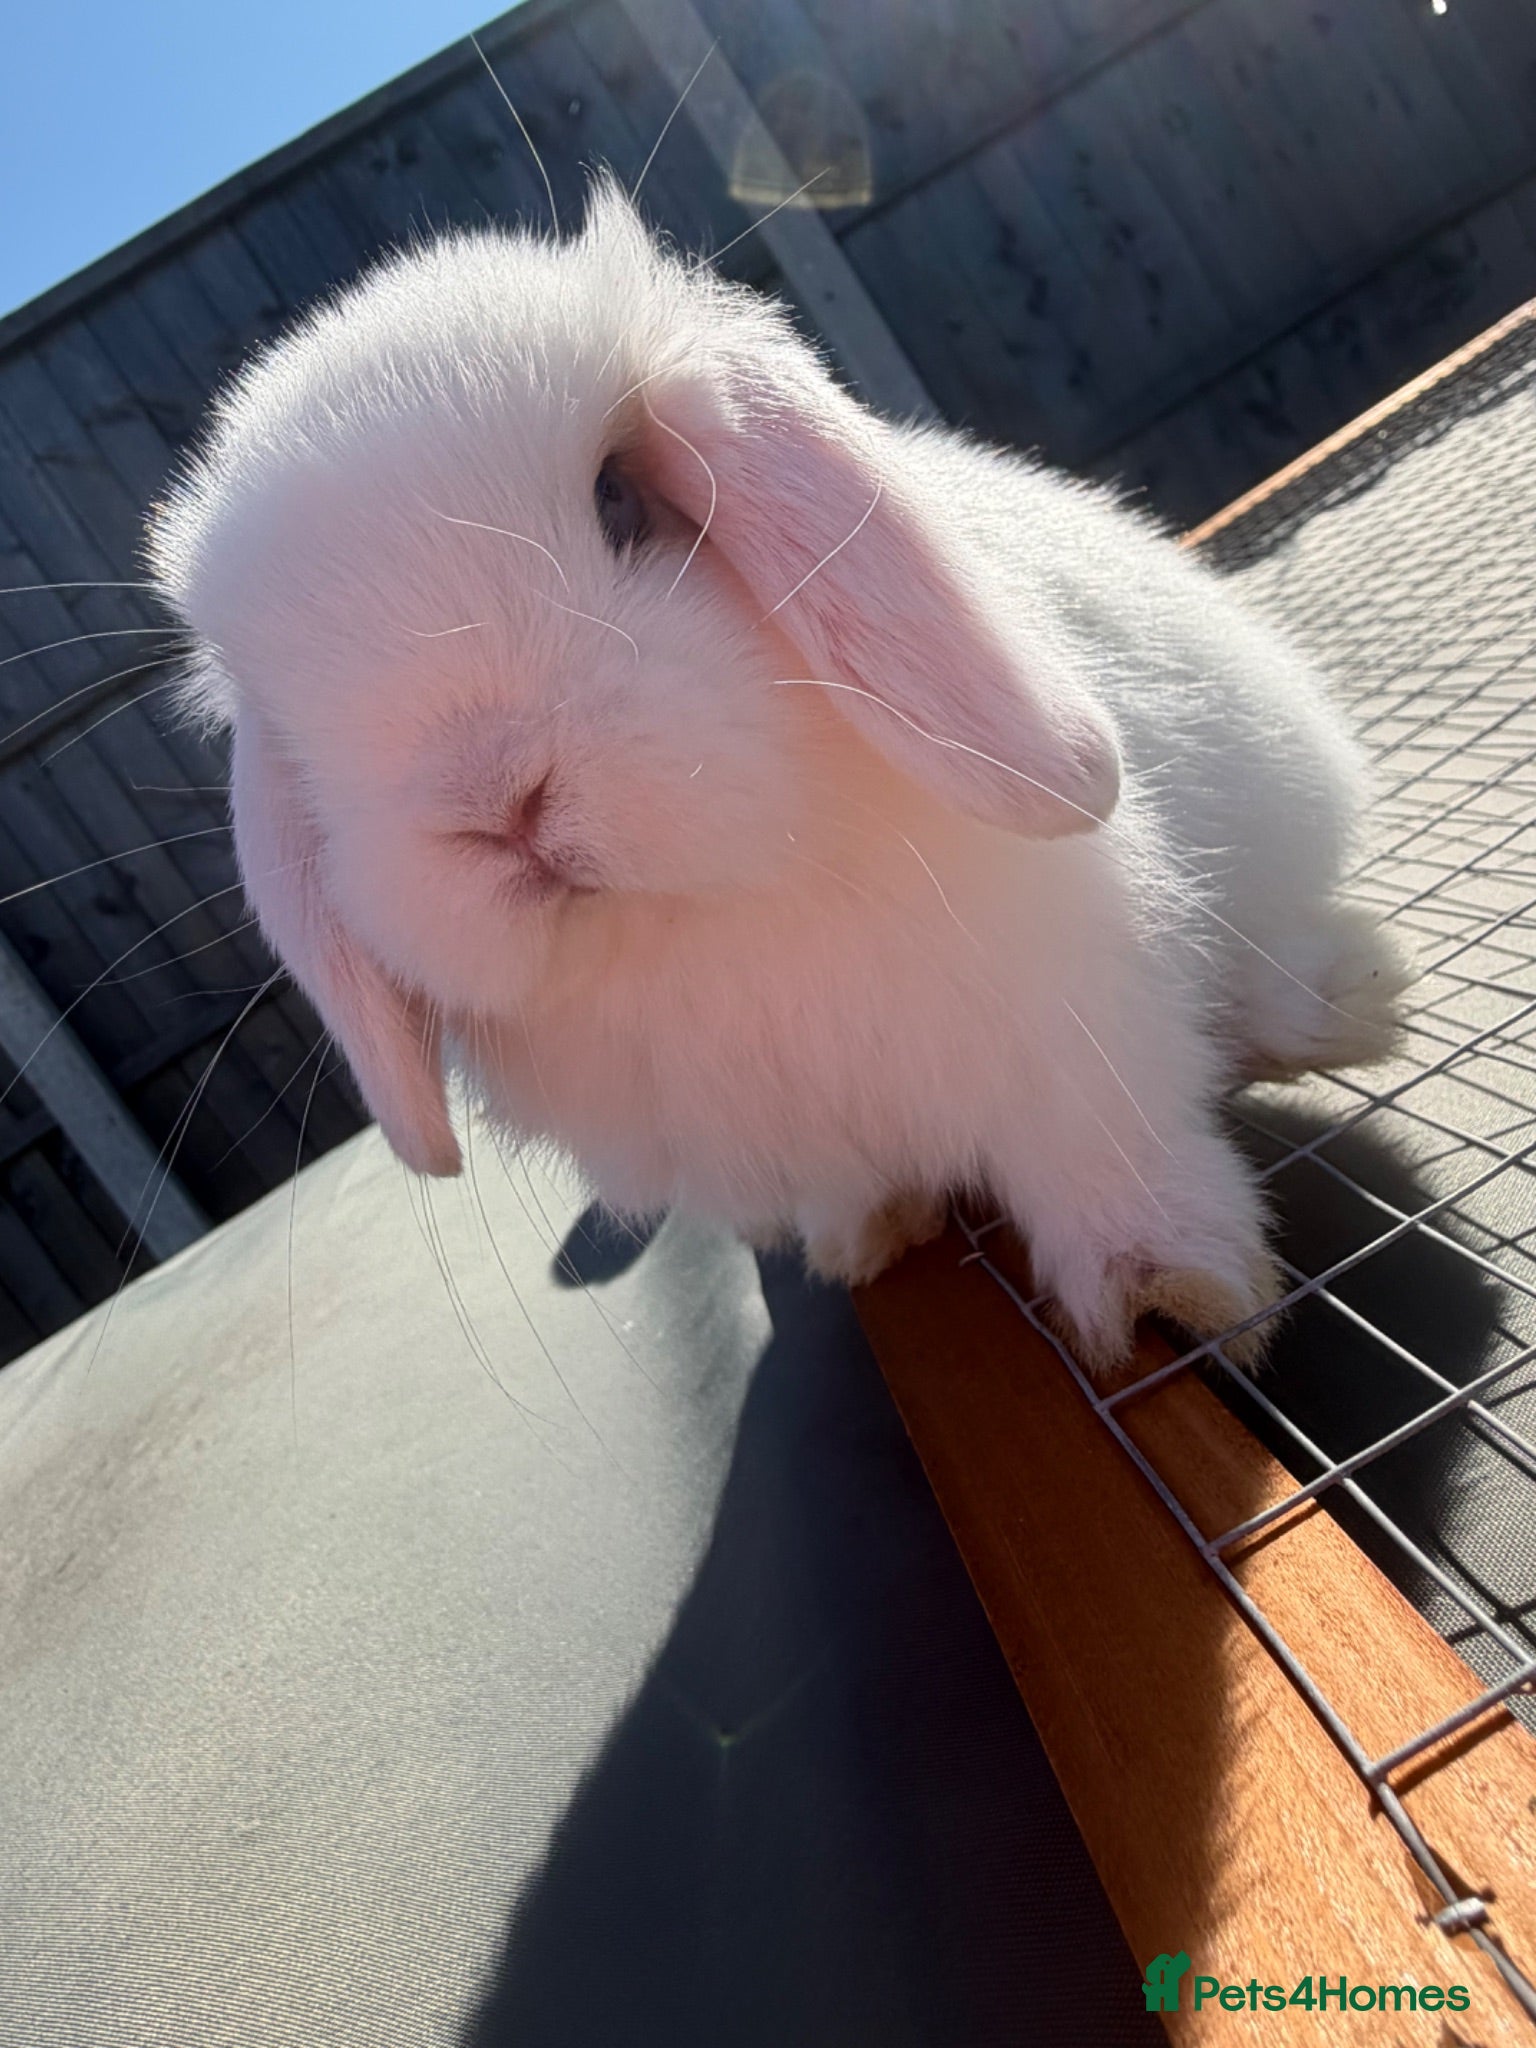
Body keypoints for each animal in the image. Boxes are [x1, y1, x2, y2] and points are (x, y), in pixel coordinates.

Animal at [147, 178, 1407, 1374]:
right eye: (283, 707)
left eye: (617, 497)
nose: (495, 802)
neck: (706, 914)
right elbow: (858, 1185)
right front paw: (868, 1241)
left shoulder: (1070, 1027)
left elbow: (1107, 1160)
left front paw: (1169, 1295)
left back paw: (1343, 1000)